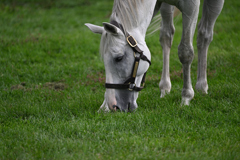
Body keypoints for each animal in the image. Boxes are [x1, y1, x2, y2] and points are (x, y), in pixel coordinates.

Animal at [85, 0, 224, 112]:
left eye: (119, 58)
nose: (114, 105)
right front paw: (104, 106)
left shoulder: (191, 6)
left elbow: (185, 52)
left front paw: (186, 97)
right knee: (167, 35)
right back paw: (165, 88)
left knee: (204, 35)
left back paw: (201, 86)